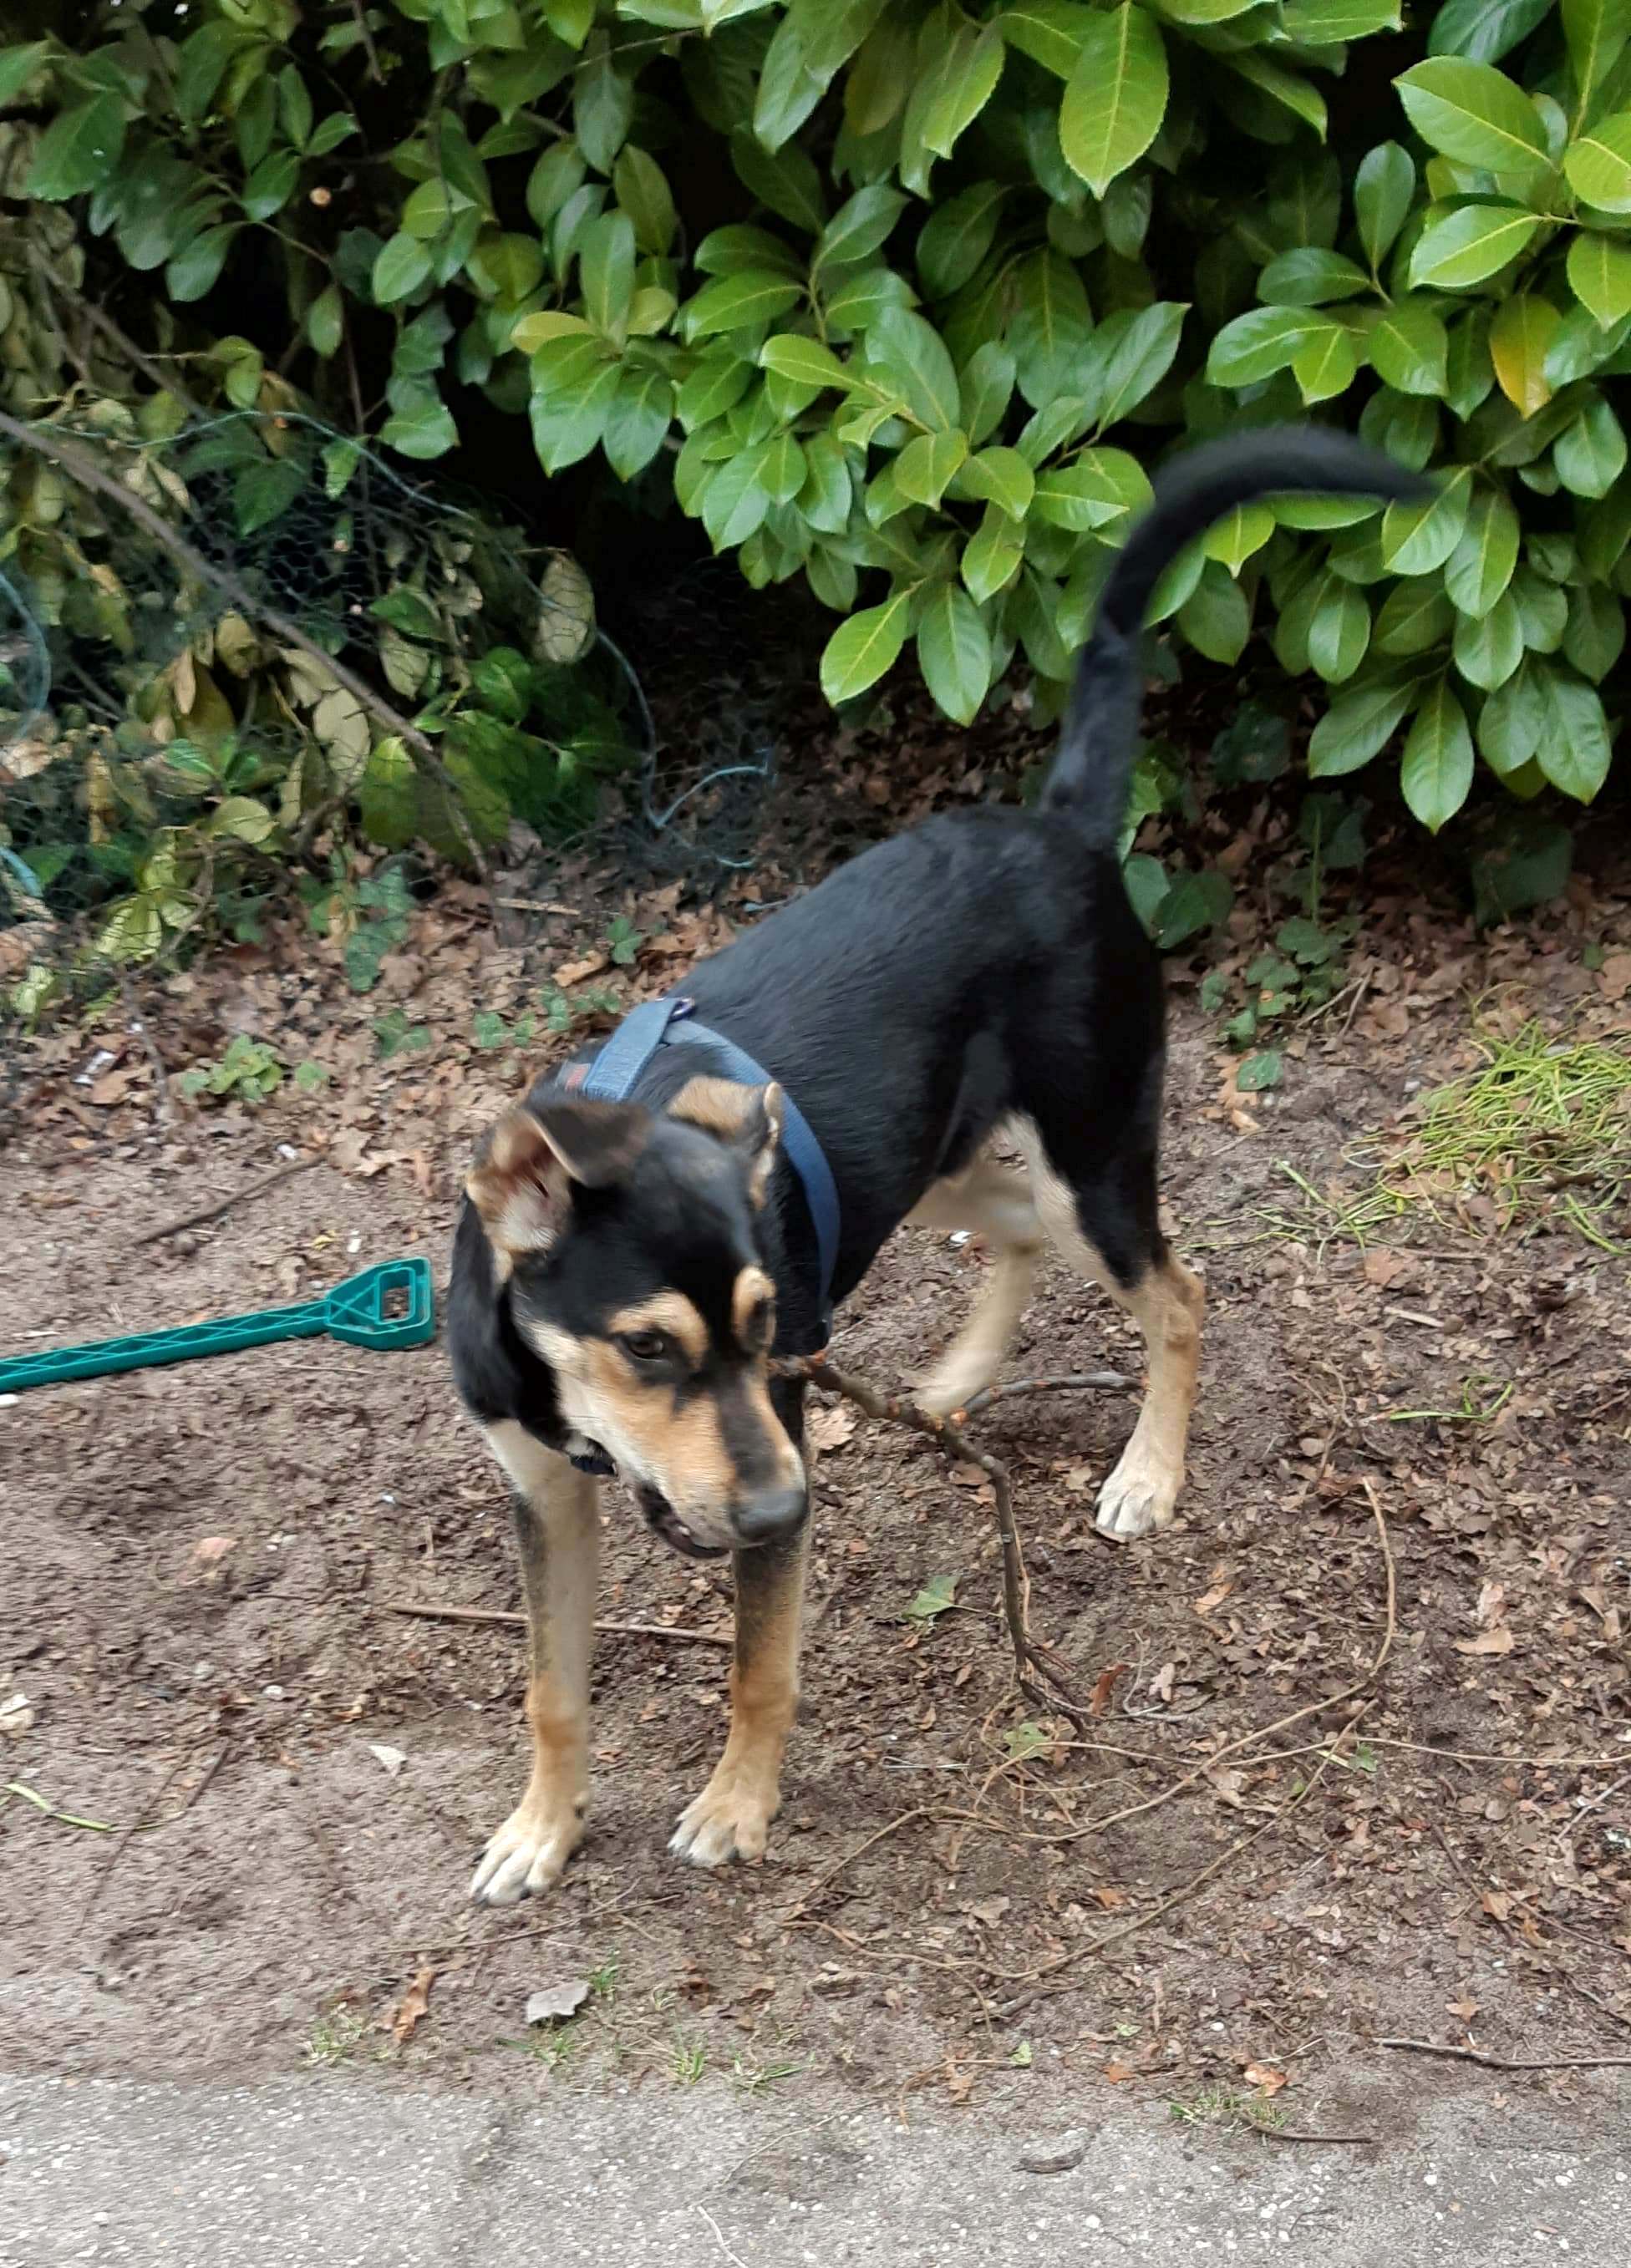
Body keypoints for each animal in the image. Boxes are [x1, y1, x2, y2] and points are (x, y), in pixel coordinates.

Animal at [448, 427, 1428, 1905]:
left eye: (758, 1326)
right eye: (650, 1346)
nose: (788, 1501)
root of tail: (1063, 825)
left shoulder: (767, 1446)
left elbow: (759, 1669)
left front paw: (736, 1806)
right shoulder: (545, 1493)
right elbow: (552, 1692)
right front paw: (540, 1828)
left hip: (1092, 1152)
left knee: (1176, 1291)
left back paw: (1147, 1472)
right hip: (931, 1158)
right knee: (1015, 1228)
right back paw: (961, 1380)